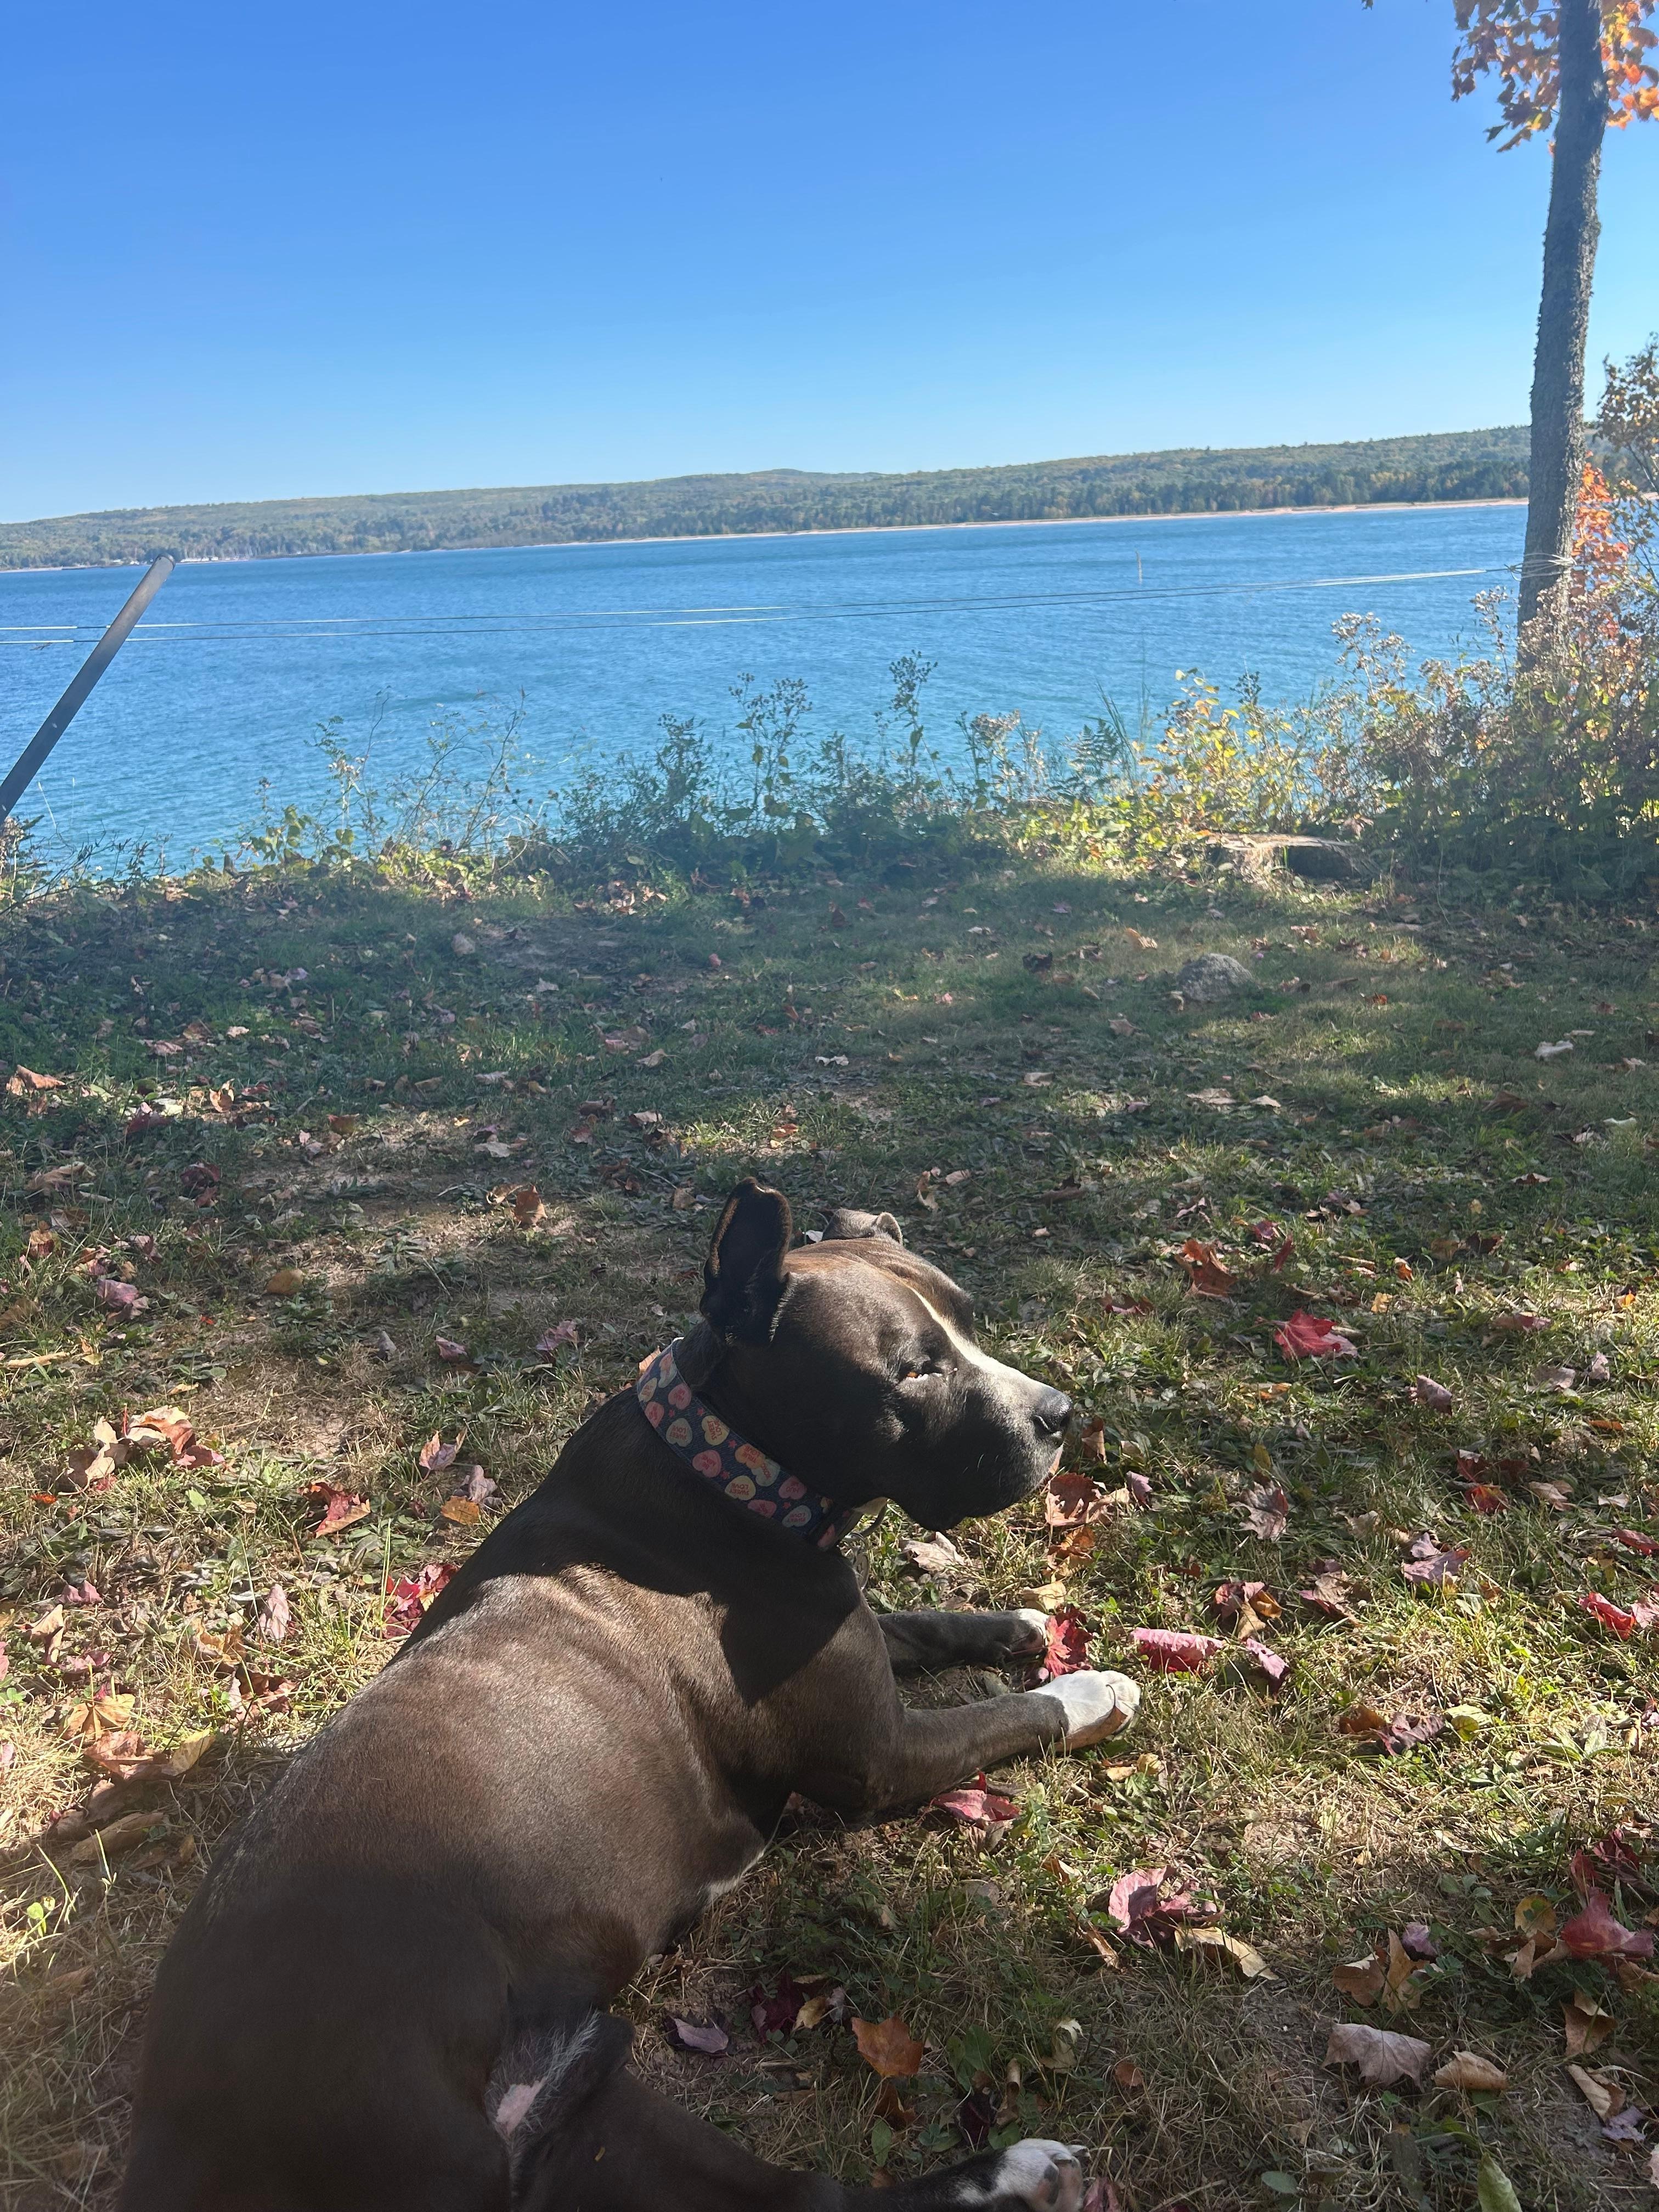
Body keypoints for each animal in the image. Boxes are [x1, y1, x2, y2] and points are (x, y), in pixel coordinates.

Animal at [119, 1180, 1140, 2212]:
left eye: (968, 1320)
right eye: (912, 1372)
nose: (1058, 1412)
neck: (727, 1466)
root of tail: (169, 2135)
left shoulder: (853, 1635)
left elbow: (924, 1620)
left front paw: (1017, 1624)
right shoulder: (880, 1758)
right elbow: (1005, 1715)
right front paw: (1088, 1688)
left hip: (588, 2102)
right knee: (818, 2200)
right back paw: (1019, 2166)